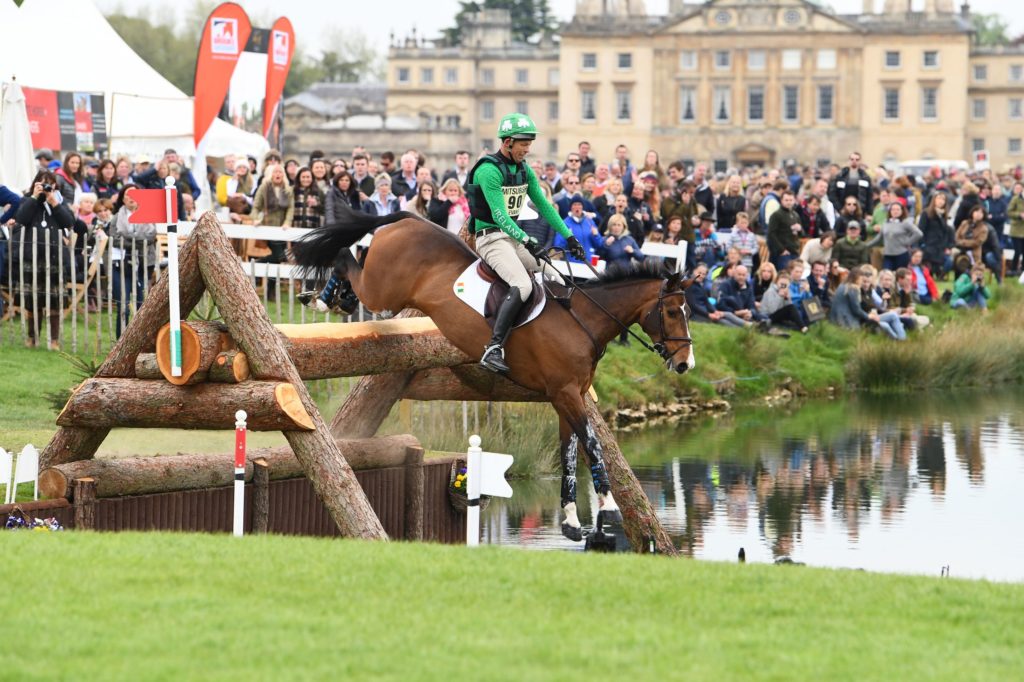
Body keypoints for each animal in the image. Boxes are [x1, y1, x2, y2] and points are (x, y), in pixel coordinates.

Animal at [292, 204, 700, 540]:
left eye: (687, 311)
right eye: (671, 312)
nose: (685, 364)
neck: (582, 321)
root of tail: (408, 219)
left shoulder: (566, 398)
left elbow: (570, 454)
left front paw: (571, 522)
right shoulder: (565, 394)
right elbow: (593, 446)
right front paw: (610, 509)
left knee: (354, 262)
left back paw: (331, 297)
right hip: (384, 290)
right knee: (347, 257)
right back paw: (323, 297)